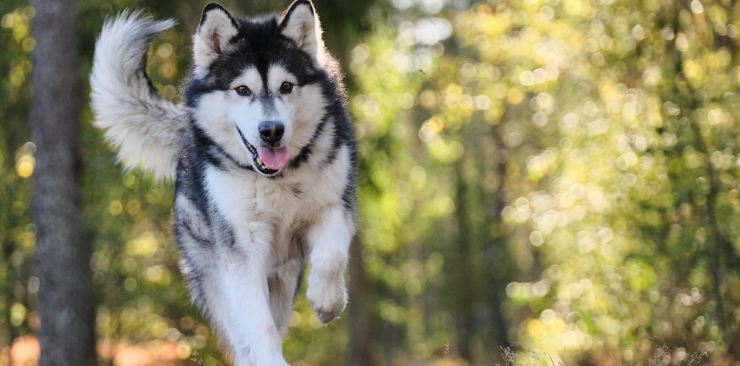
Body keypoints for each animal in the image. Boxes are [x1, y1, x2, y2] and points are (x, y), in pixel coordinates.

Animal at [91, 1, 356, 364]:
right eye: (242, 89)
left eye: (286, 86)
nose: (271, 131)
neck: (278, 179)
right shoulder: (242, 247)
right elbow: (259, 325)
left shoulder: (335, 205)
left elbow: (331, 257)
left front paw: (327, 301)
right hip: (217, 275)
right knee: (243, 334)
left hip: (283, 277)